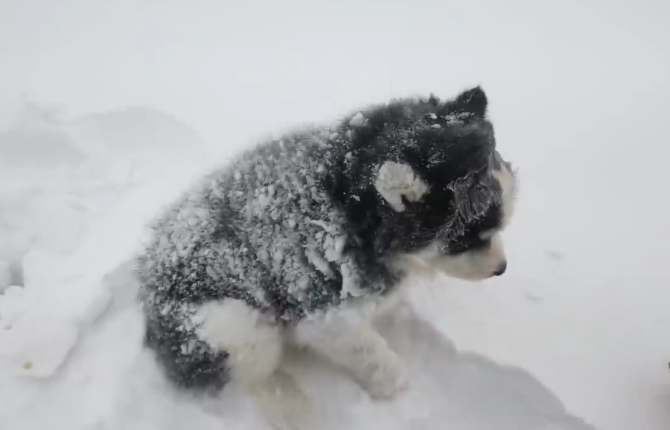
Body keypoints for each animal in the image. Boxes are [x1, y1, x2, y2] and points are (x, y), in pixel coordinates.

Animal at [136, 85, 520, 428]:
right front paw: (397, 388)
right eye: (467, 238)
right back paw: (294, 407)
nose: (501, 269)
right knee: (254, 379)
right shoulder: (322, 313)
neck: (350, 202)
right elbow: (373, 354)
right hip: (231, 322)